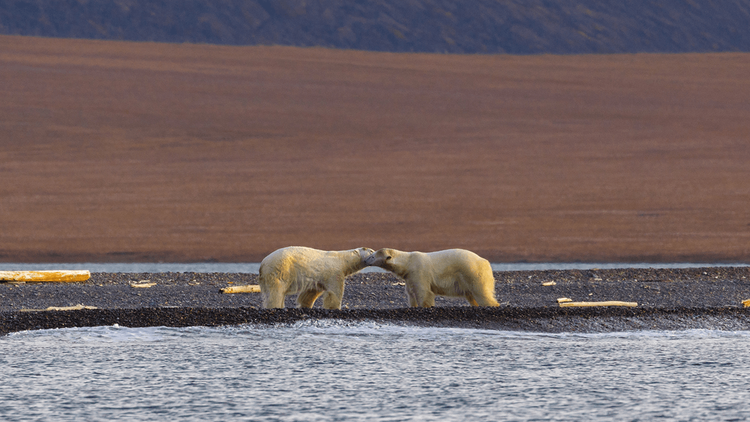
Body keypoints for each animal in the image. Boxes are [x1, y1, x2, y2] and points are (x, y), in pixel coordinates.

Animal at [364, 247, 500, 306]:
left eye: (372, 256)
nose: (365, 260)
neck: (408, 262)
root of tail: (485, 262)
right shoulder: (409, 277)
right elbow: (411, 294)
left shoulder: (419, 271)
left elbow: (424, 293)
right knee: (471, 295)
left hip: (472, 272)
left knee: (481, 293)